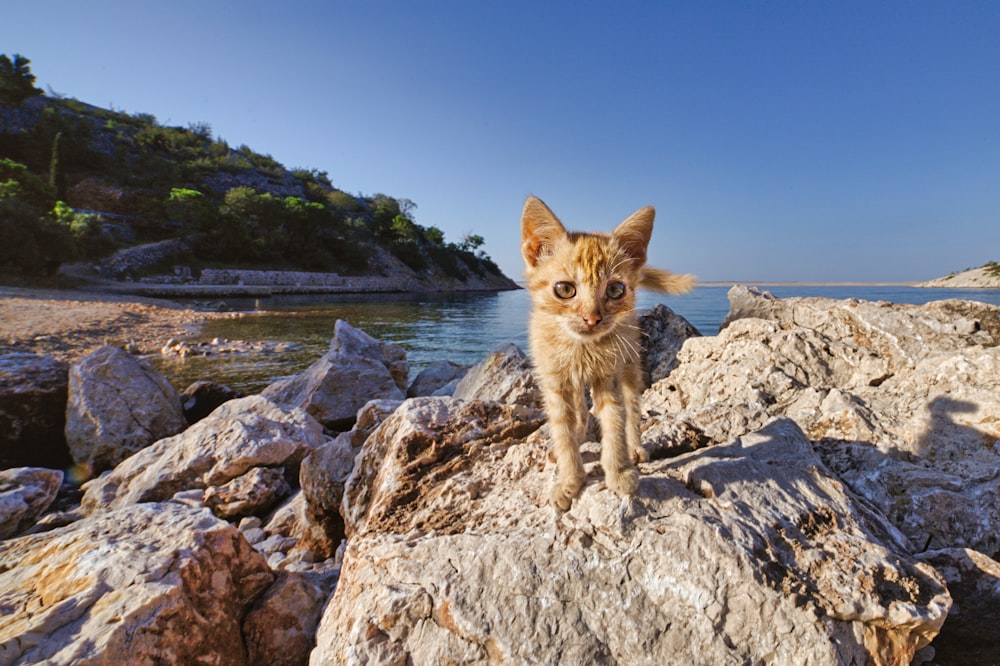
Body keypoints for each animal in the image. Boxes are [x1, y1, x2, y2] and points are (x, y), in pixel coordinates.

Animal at [524, 195, 696, 506]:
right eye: (564, 289)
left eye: (615, 290)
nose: (592, 318)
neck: (580, 348)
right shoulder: (555, 381)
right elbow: (564, 428)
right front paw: (569, 481)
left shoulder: (609, 377)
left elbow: (615, 421)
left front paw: (618, 472)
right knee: (580, 411)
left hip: (630, 364)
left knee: (632, 407)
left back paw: (635, 448)